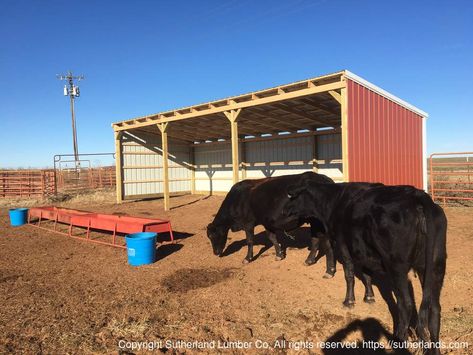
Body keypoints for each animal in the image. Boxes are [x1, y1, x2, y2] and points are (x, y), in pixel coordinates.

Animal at [206, 172, 336, 278]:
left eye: (213, 236)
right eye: (209, 237)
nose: (216, 253)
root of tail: (324, 178)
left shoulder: (248, 223)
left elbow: (250, 241)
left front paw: (247, 258)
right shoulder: (267, 223)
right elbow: (272, 238)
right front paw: (279, 255)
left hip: (320, 223)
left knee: (327, 244)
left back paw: (329, 271)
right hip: (314, 222)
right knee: (315, 240)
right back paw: (309, 260)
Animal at [284, 184, 446, 354]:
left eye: (291, 197)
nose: (284, 214)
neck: (336, 200)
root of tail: (418, 196)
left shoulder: (343, 244)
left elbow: (349, 273)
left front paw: (349, 300)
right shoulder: (363, 251)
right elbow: (367, 274)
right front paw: (369, 297)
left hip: (397, 267)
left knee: (406, 304)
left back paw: (398, 340)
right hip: (435, 267)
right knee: (434, 309)